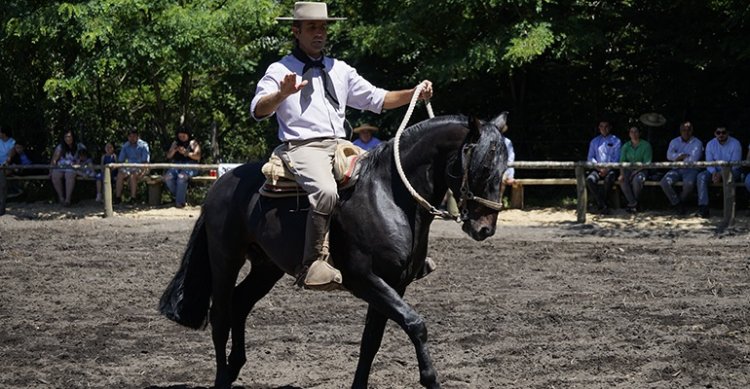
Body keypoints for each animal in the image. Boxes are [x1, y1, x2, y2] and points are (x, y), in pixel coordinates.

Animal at [159, 110, 512, 386]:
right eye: (483, 168)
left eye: (504, 169)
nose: (484, 228)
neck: (388, 194)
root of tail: (221, 183)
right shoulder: (365, 279)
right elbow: (415, 324)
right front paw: (430, 378)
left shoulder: (393, 284)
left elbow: (371, 342)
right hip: (225, 258)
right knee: (220, 315)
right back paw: (222, 376)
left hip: (266, 268)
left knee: (239, 304)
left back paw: (235, 366)